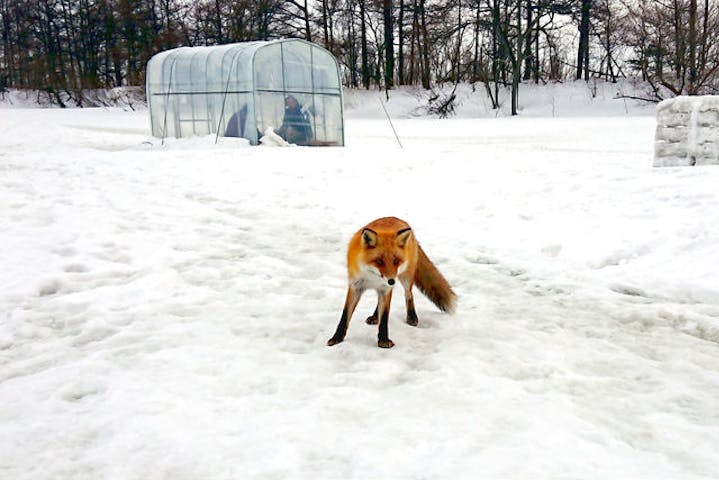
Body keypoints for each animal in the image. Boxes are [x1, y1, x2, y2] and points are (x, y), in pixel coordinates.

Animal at [328, 218, 456, 348]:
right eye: (379, 261)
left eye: (396, 261)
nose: (391, 281)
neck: (373, 278)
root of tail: (398, 219)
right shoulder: (355, 286)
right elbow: (345, 315)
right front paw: (337, 338)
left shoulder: (386, 289)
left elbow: (384, 316)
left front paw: (383, 340)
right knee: (380, 302)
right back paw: (375, 317)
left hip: (406, 277)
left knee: (409, 294)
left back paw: (412, 317)